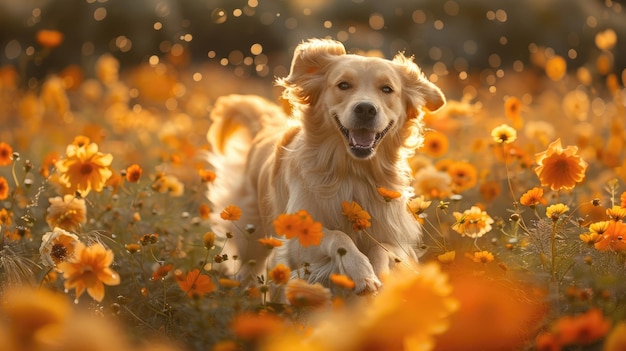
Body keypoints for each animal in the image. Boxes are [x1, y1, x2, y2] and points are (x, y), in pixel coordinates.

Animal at [208, 38, 444, 294]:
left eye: (387, 89)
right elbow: (338, 236)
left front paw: (378, 276)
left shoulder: (395, 236)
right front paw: (362, 273)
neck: (352, 173)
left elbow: (382, 249)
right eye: (343, 85)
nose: (365, 109)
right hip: (252, 236)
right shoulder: (296, 239)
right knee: (249, 267)